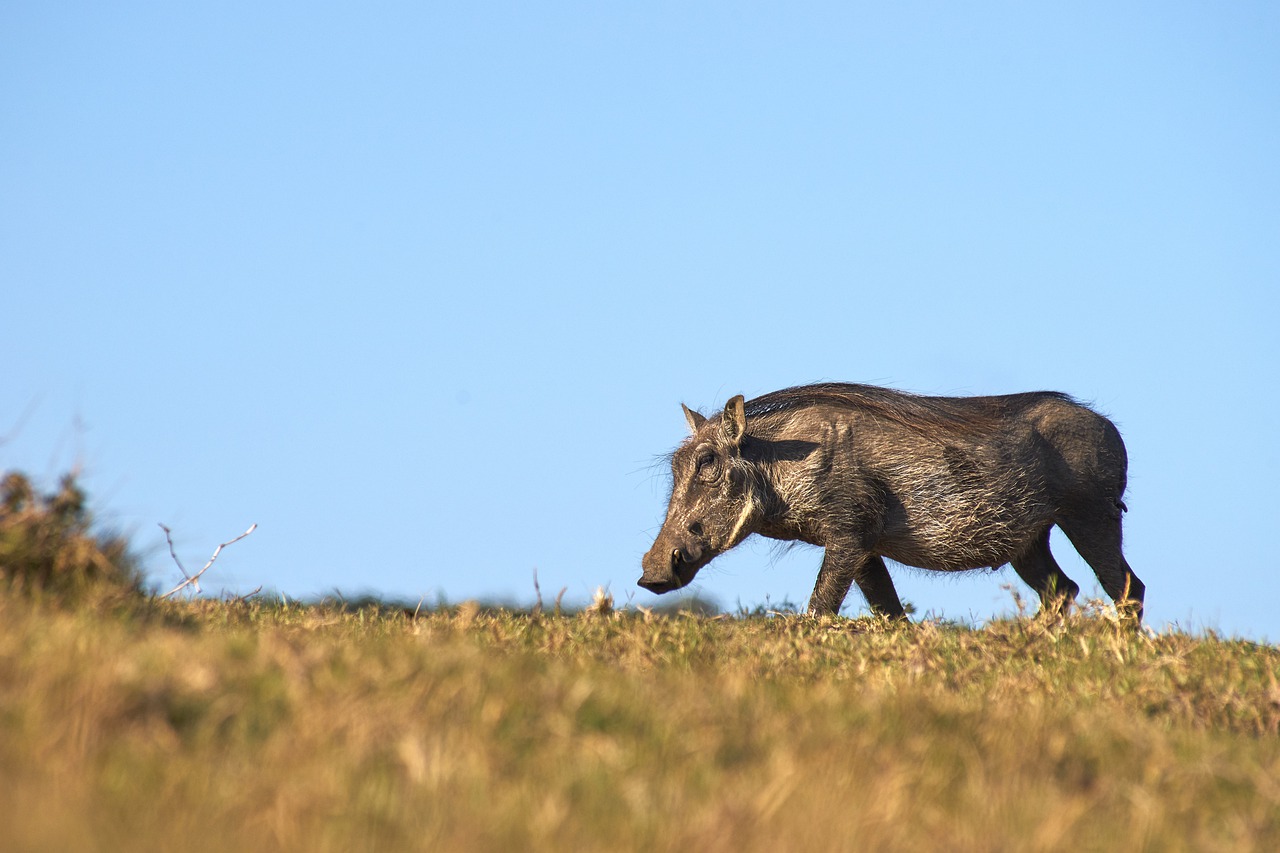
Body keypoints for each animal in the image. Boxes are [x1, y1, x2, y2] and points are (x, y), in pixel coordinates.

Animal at [640, 383, 1144, 621]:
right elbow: (891, 613)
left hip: (1091, 516)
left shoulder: (848, 534)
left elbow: (819, 607)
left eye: (707, 462)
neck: (781, 462)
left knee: (1126, 588)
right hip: (1029, 542)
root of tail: (1109, 428)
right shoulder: (864, 549)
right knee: (1062, 591)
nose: (651, 574)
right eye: (676, 465)